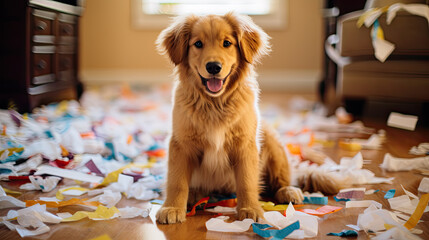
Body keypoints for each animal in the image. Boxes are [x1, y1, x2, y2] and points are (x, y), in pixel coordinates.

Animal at [155, 12, 336, 224]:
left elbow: (247, 181)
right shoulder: (180, 143)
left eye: (227, 43)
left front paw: (250, 209)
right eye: (198, 44)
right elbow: (177, 181)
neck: (214, 103)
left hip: (272, 141)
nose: (213, 67)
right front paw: (172, 207)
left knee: (281, 179)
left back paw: (288, 191)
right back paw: (194, 195)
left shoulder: (245, 144)